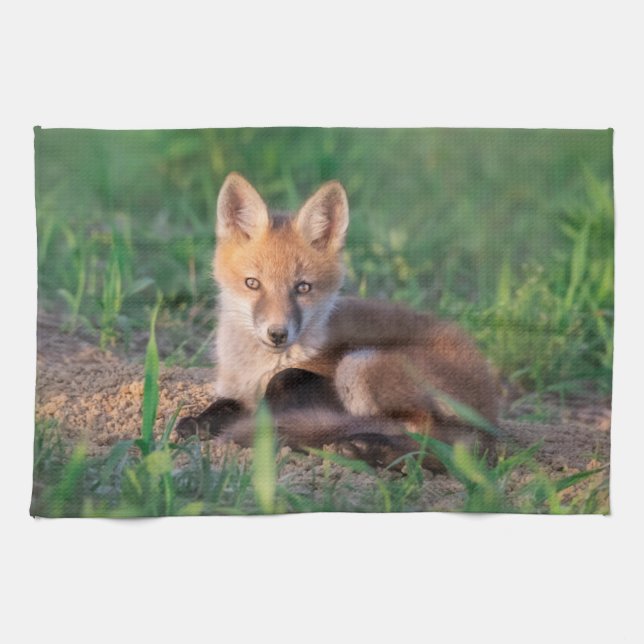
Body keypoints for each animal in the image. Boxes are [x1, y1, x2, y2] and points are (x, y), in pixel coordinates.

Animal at [176, 172, 500, 469]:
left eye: (303, 288)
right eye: (252, 284)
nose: (278, 334)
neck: (257, 368)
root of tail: (492, 416)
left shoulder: (315, 377)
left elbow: (282, 382)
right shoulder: (236, 390)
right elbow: (223, 405)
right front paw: (201, 422)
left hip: (359, 365)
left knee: (433, 442)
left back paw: (367, 448)